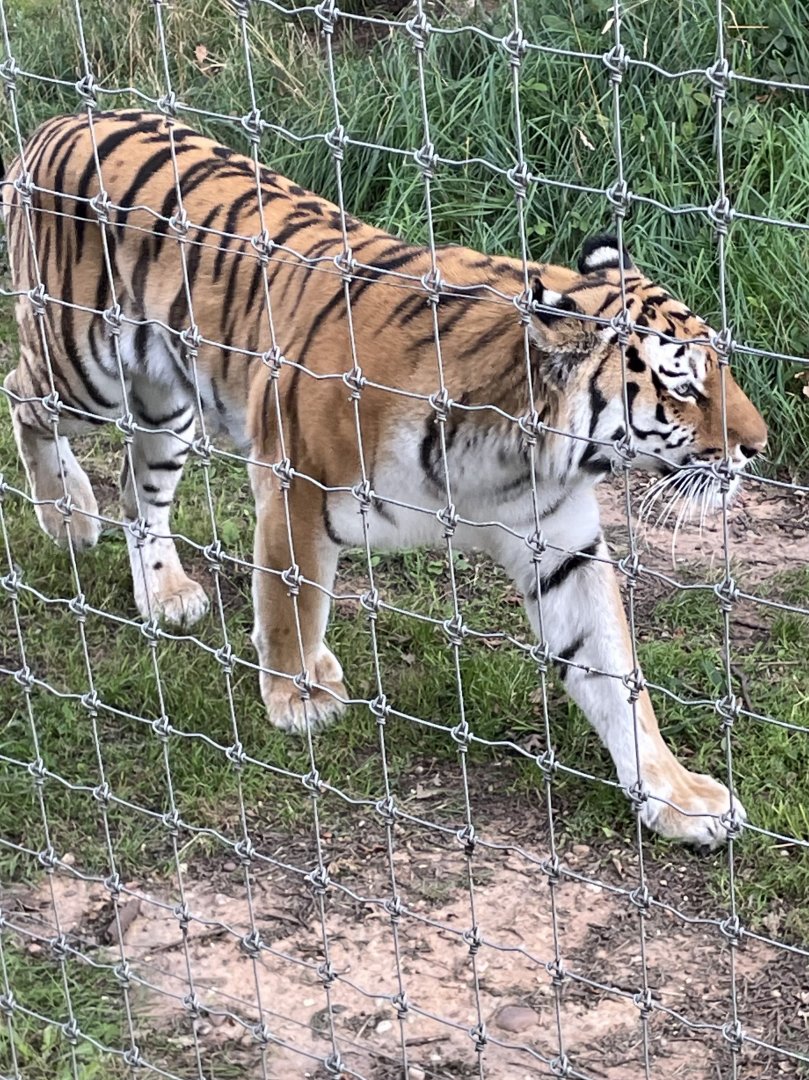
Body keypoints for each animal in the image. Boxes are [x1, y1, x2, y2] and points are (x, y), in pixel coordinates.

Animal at [2, 109, 767, 851]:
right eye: (684, 386)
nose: (757, 448)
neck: (514, 450)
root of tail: (56, 123)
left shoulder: (560, 547)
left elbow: (614, 674)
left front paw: (678, 798)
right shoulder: (295, 487)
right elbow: (291, 602)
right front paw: (298, 699)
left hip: (166, 406)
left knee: (140, 490)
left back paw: (163, 593)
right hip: (85, 373)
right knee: (21, 394)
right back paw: (68, 515)